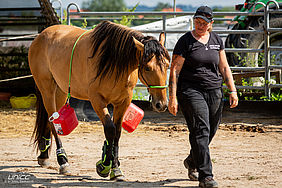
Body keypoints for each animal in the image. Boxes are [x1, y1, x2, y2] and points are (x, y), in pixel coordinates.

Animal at [28, 19, 170, 180]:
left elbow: (117, 133)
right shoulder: (97, 100)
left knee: (50, 118)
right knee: (53, 123)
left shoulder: (123, 102)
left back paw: (44, 155)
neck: (113, 61)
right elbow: (110, 130)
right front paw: (105, 166)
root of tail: (41, 36)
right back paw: (62, 160)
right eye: (147, 68)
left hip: (61, 92)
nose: (161, 104)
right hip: (47, 89)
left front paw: (115, 167)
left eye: (167, 65)